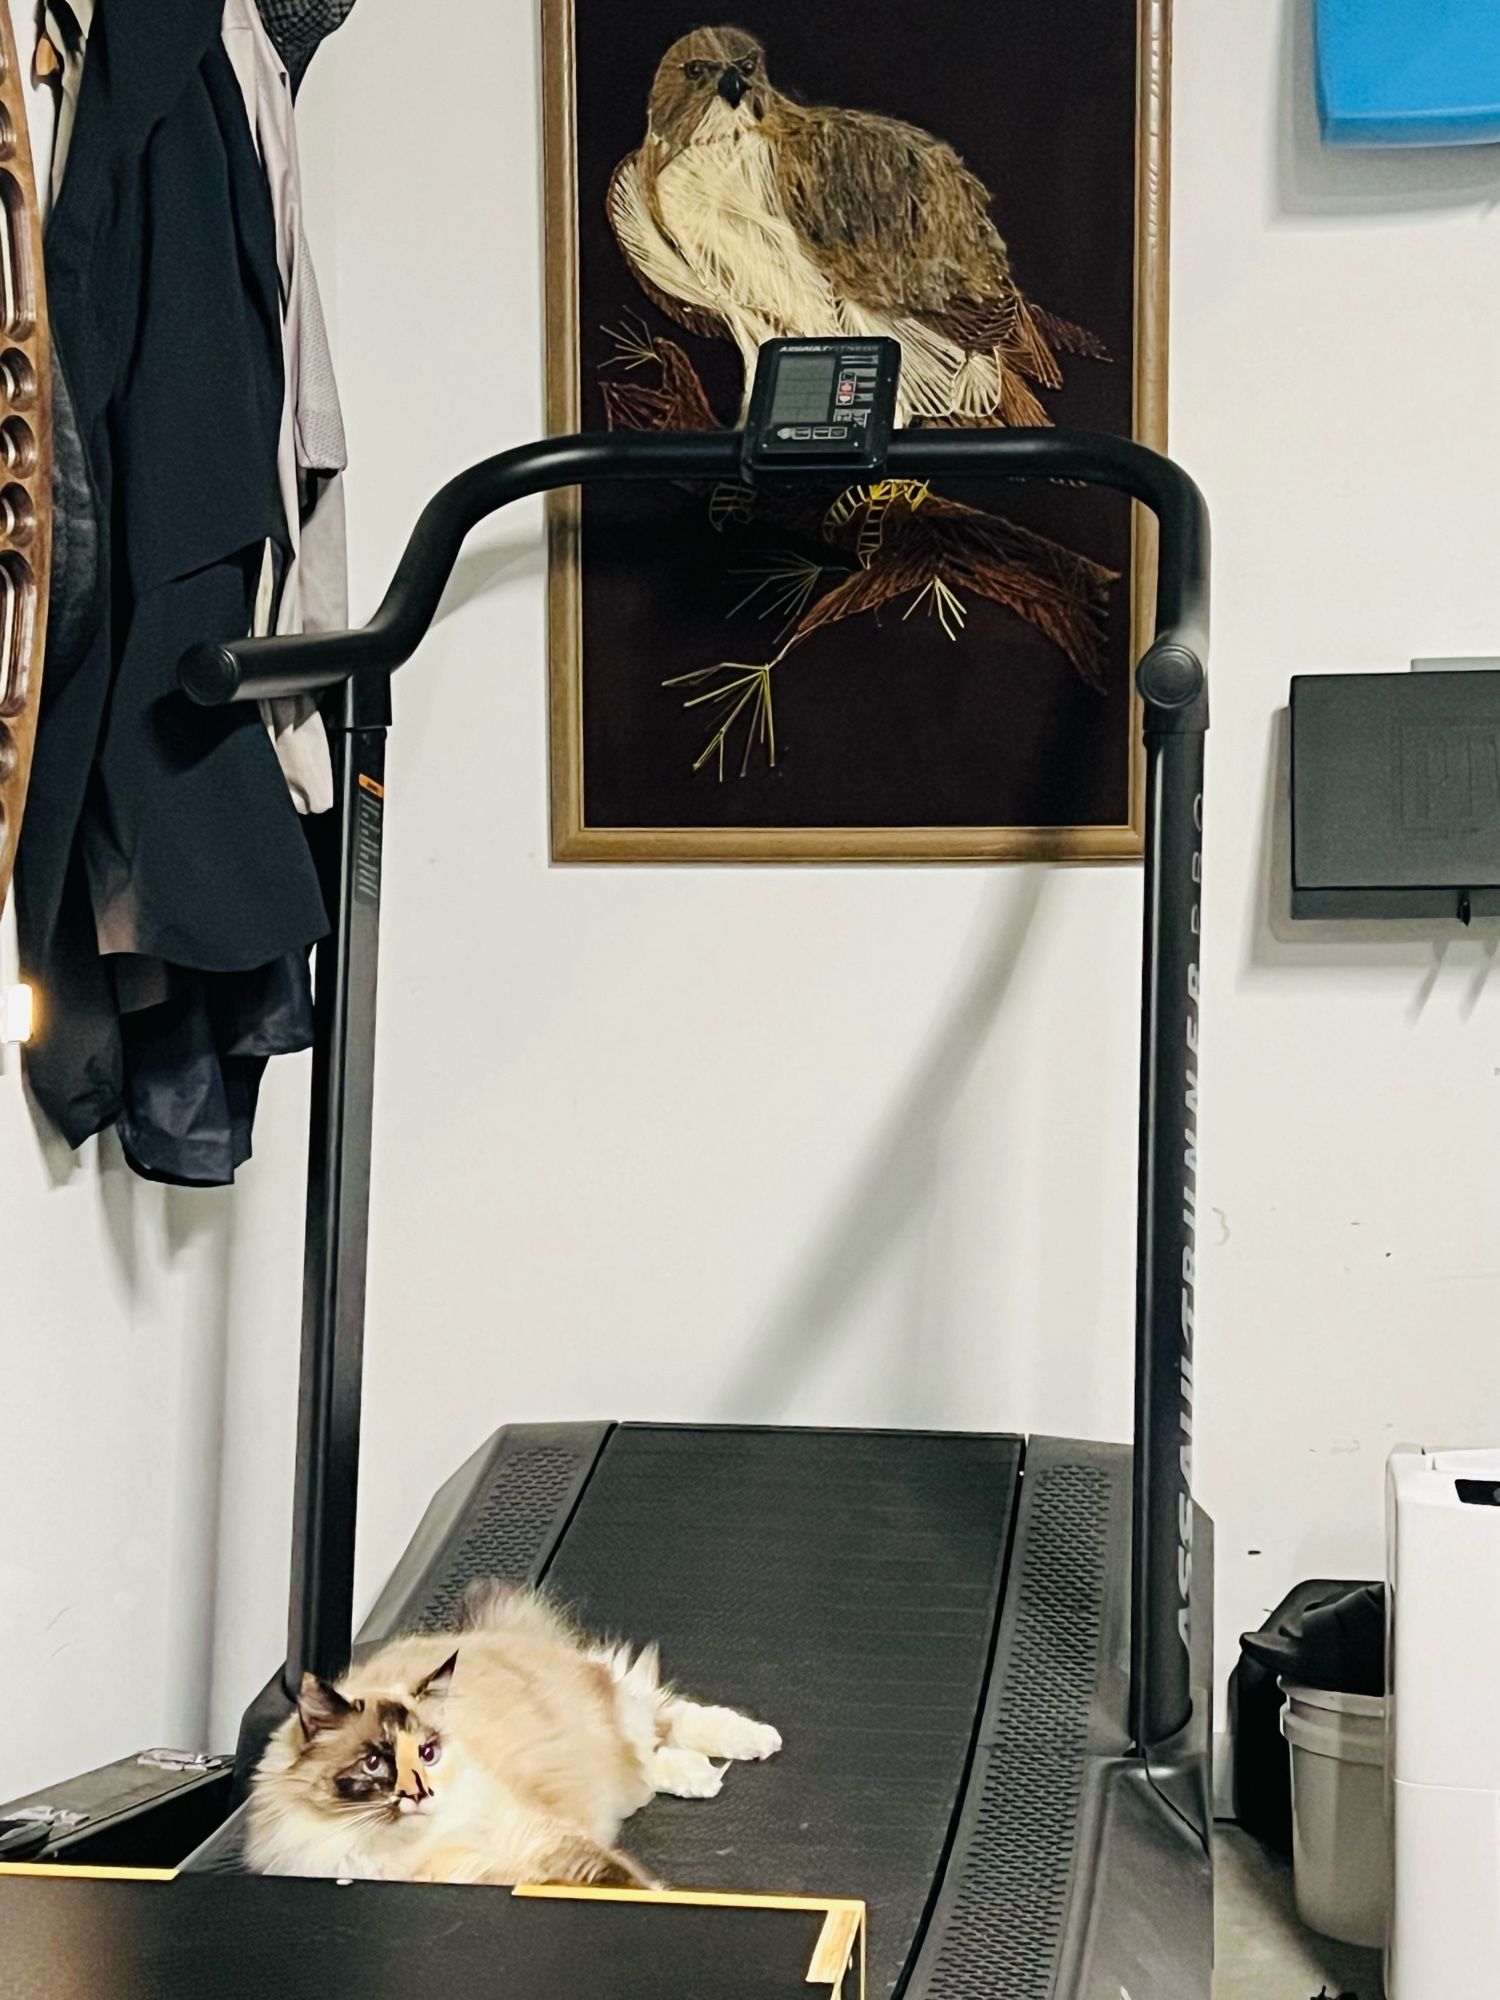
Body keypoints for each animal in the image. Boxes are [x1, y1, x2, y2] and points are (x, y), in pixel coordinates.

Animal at [244, 1576, 788, 1888]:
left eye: (428, 1752)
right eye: (375, 1763)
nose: (420, 1793)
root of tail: (471, 1635)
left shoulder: (540, 1836)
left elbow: (618, 1878)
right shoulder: (483, 1873)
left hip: (607, 1706)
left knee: (664, 1714)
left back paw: (757, 1741)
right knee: (650, 1756)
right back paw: (701, 1774)